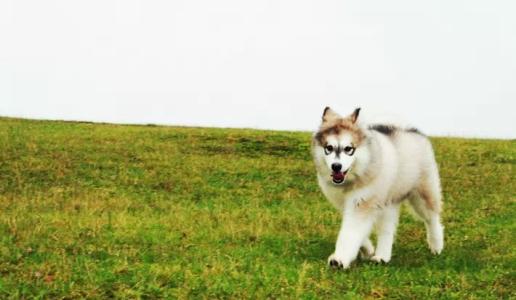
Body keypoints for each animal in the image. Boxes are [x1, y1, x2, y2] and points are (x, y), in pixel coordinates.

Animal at [310, 106, 444, 268]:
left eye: (349, 149)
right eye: (328, 148)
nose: (336, 166)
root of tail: (411, 129)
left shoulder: (361, 203)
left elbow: (349, 233)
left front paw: (340, 259)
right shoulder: (345, 204)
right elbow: (357, 232)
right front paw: (367, 250)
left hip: (422, 193)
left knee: (432, 218)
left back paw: (436, 245)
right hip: (389, 203)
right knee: (387, 230)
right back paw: (382, 256)